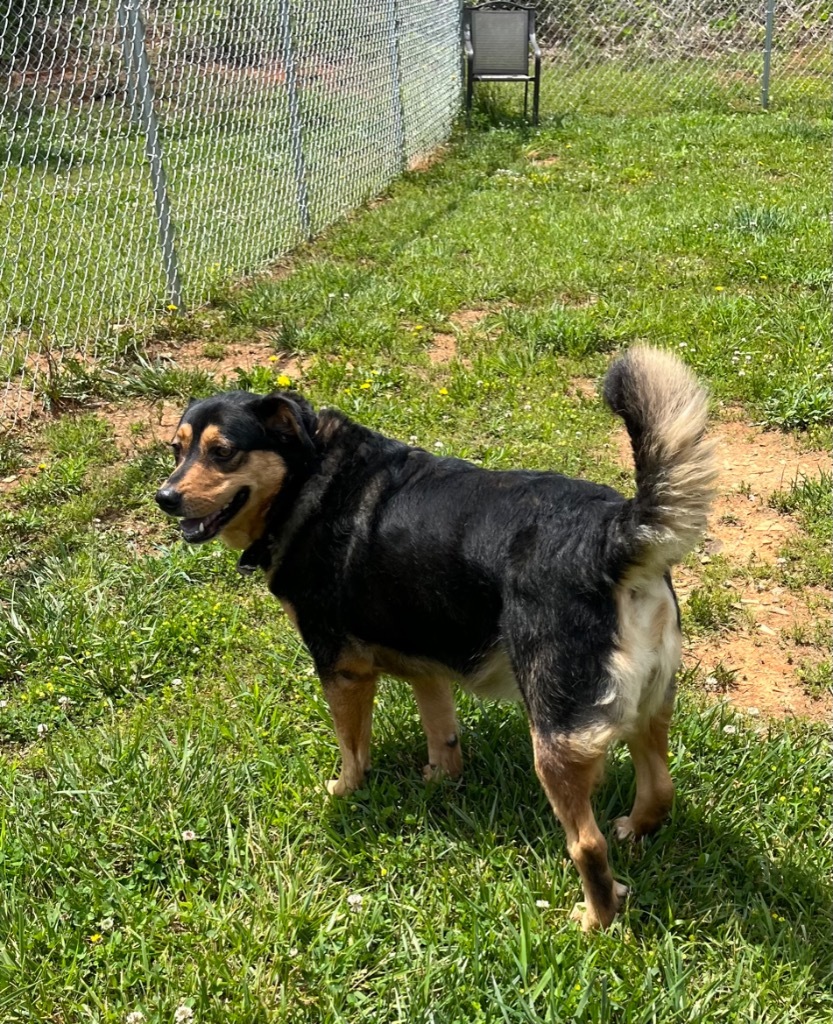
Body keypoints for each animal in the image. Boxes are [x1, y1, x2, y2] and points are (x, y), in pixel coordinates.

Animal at [157, 348, 713, 933]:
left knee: (586, 844)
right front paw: (438, 779)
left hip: (555, 733)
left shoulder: (340, 668)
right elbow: (441, 731)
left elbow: (353, 747)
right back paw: (635, 830)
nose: (164, 497)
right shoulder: (427, 664)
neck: (309, 476)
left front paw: (344, 790)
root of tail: (608, 537)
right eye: (176, 449)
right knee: (661, 789)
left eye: (223, 453)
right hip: (649, 703)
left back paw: (594, 920)